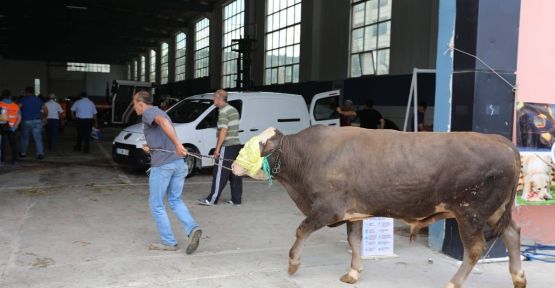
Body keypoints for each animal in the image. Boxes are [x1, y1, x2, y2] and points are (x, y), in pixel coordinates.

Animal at [232, 126, 528, 288]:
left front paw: (293, 263)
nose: (233, 164)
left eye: (260, 144)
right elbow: (354, 240)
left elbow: (301, 230)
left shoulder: (328, 208)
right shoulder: (353, 212)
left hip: (471, 213)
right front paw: (353, 272)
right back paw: (518, 277)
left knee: (475, 248)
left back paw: (453, 283)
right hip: (493, 211)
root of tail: (501, 141)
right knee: (512, 233)